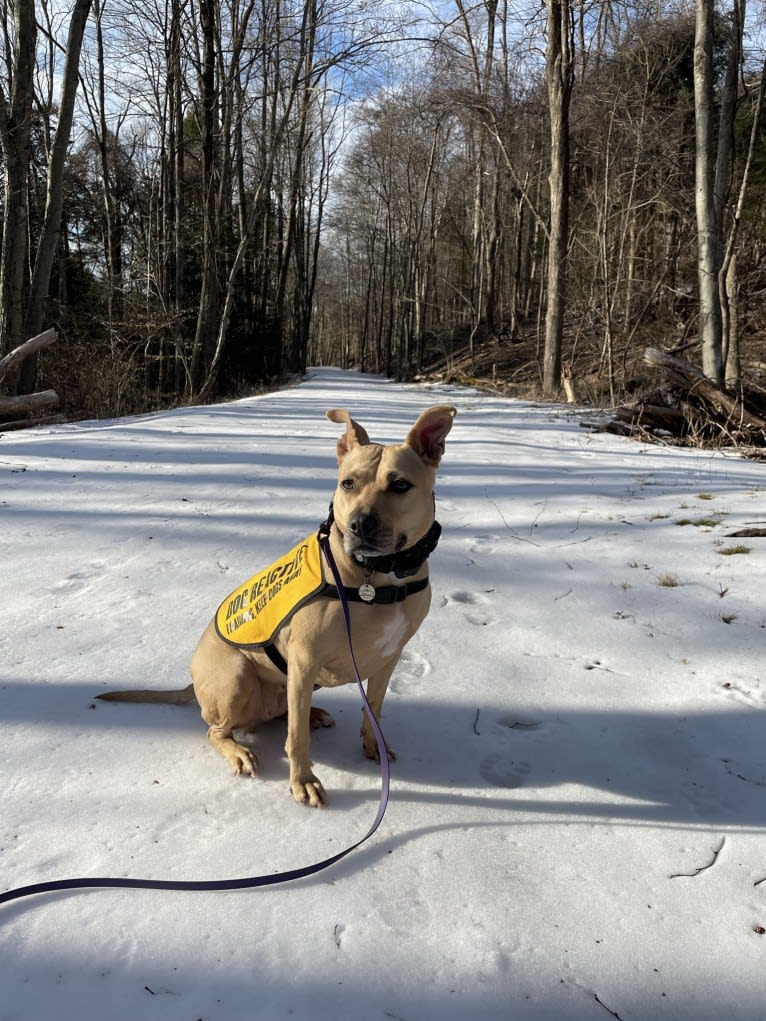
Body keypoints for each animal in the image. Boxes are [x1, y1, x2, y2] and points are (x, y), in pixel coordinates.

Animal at [96, 406, 455, 804]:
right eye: (348, 483)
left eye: (400, 485)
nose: (360, 524)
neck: (376, 574)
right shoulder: (304, 658)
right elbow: (296, 739)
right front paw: (303, 781)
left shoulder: (388, 658)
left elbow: (372, 709)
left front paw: (373, 745)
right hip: (237, 677)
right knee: (219, 730)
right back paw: (239, 752)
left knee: (283, 714)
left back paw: (312, 714)